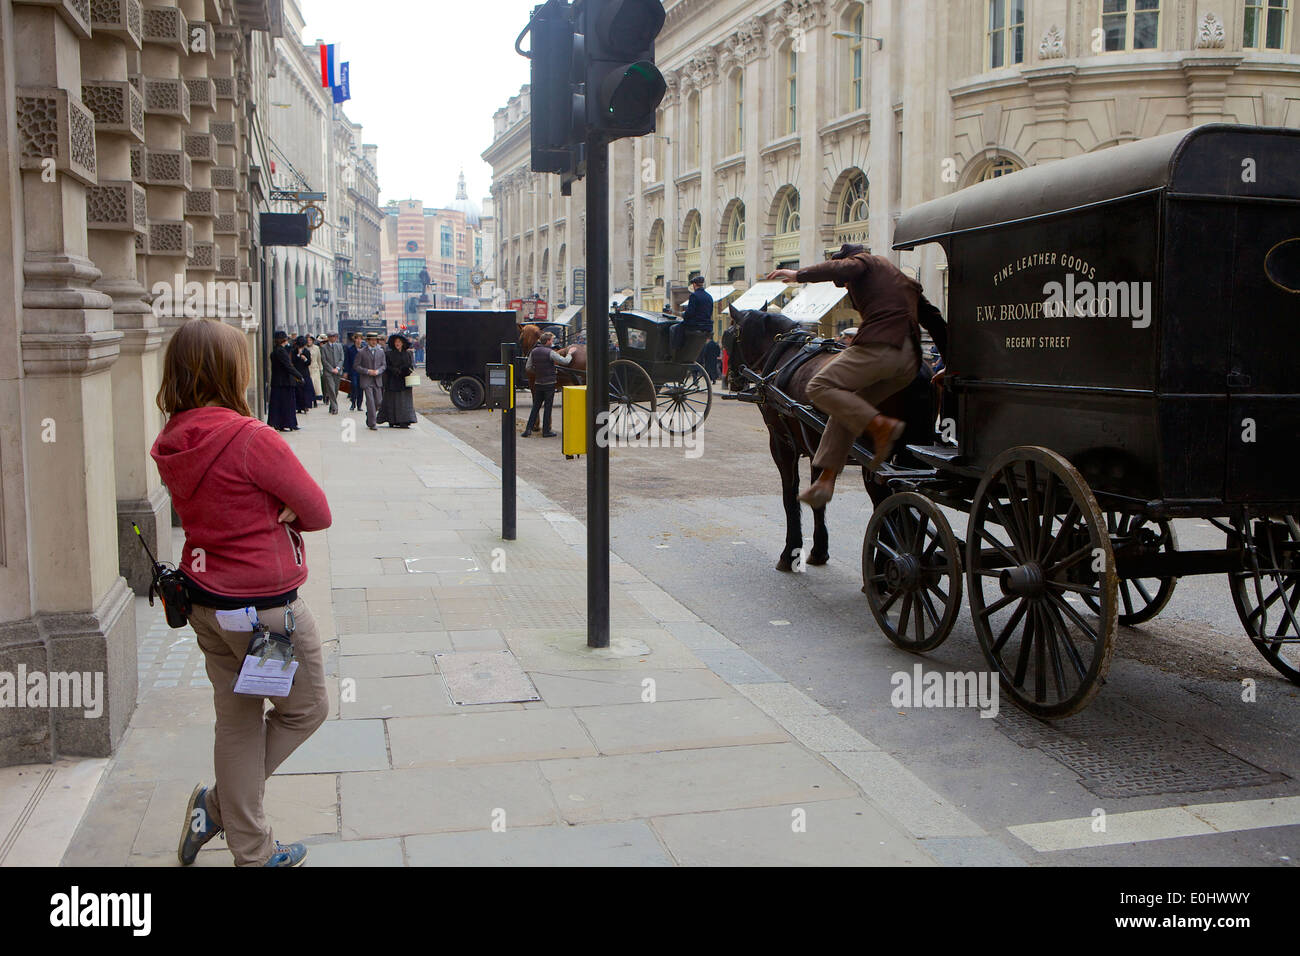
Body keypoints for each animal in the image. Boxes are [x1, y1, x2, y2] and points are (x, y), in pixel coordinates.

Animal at [722, 306, 935, 572]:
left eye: (728, 337)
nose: (731, 379)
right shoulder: (817, 448)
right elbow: (818, 500)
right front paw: (819, 550)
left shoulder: (782, 443)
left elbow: (789, 495)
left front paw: (790, 553)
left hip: (875, 464)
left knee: (888, 509)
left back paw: (885, 567)